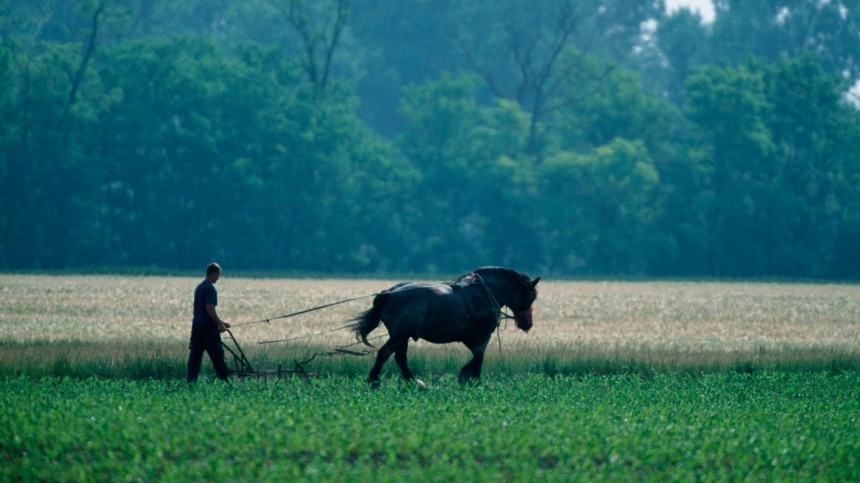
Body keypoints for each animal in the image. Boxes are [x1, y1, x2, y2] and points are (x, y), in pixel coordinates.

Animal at [348, 266, 536, 388]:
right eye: (530, 296)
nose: (528, 324)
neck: (485, 291)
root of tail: (390, 293)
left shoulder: (468, 337)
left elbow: (476, 355)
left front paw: (464, 376)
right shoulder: (482, 335)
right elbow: (479, 356)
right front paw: (473, 379)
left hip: (403, 337)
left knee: (399, 358)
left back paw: (414, 383)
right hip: (399, 335)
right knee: (384, 353)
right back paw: (374, 381)